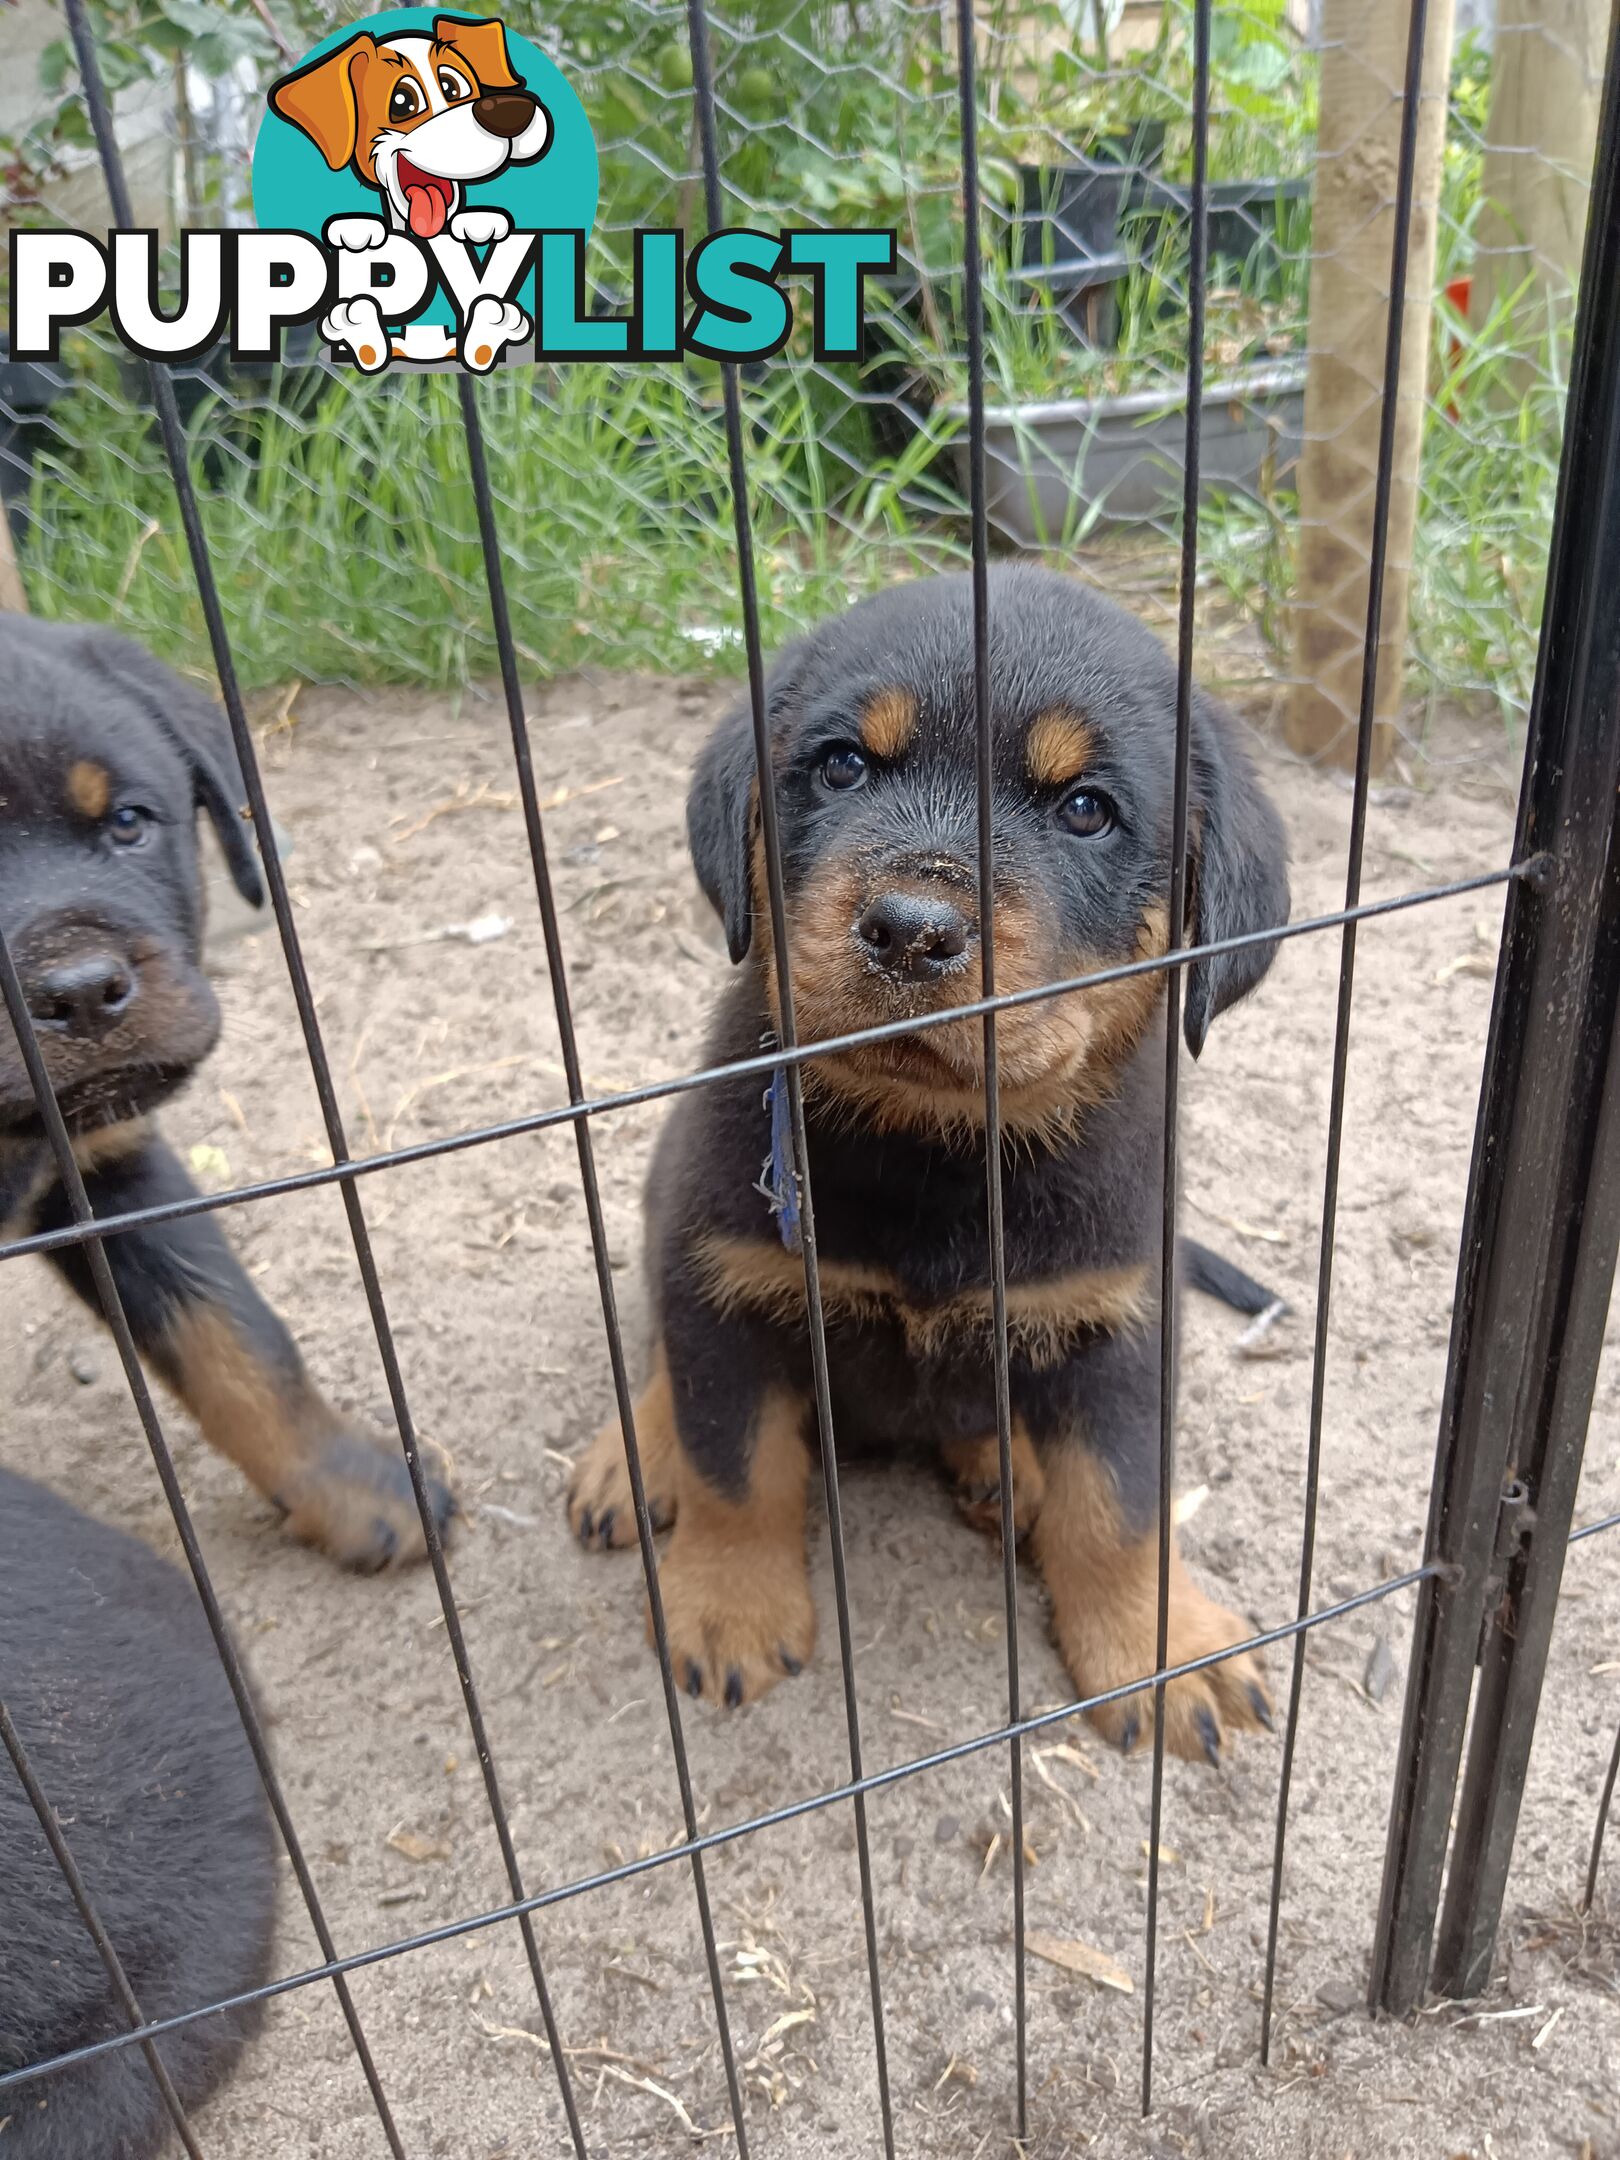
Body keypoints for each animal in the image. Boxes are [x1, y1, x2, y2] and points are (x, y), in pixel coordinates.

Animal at [570, 565, 1296, 1762]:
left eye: (1085, 809)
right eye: (842, 765)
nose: (912, 928)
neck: (936, 1154)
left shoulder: (1120, 1317)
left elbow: (1120, 1505)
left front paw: (1161, 1647)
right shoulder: (727, 1275)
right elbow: (735, 1463)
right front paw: (727, 1607)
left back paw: (1006, 1466)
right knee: (665, 1365)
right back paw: (634, 1460)